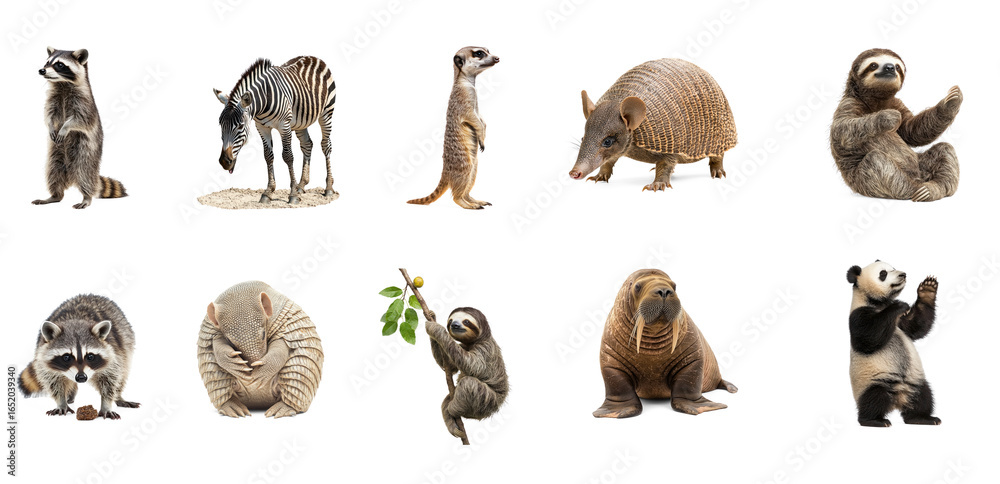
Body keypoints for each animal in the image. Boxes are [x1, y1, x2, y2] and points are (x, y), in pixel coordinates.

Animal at [34, 47, 126, 209]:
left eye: (60, 65)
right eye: (47, 62)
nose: (42, 70)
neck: (62, 83)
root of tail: (70, 176)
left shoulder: (85, 103)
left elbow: (80, 120)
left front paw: (65, 127)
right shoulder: (52, 98)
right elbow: (48, 114)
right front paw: (51, 126)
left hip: (85, 151)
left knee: (85, 173)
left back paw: (86, 197)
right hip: (55, 155)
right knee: (53, 172)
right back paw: (54, 196)